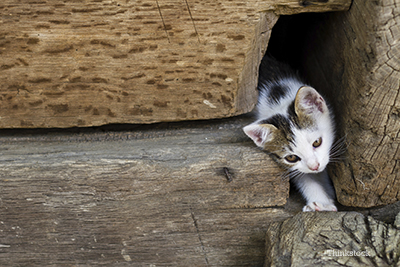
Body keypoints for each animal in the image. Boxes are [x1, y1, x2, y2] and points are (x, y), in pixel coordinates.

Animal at [242, 57, 336, 214]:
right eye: (291, 158)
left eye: (317, 142)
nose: (314, 166)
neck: (276, 100)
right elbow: (303, 176)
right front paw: (321, 202)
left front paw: (327, 193)